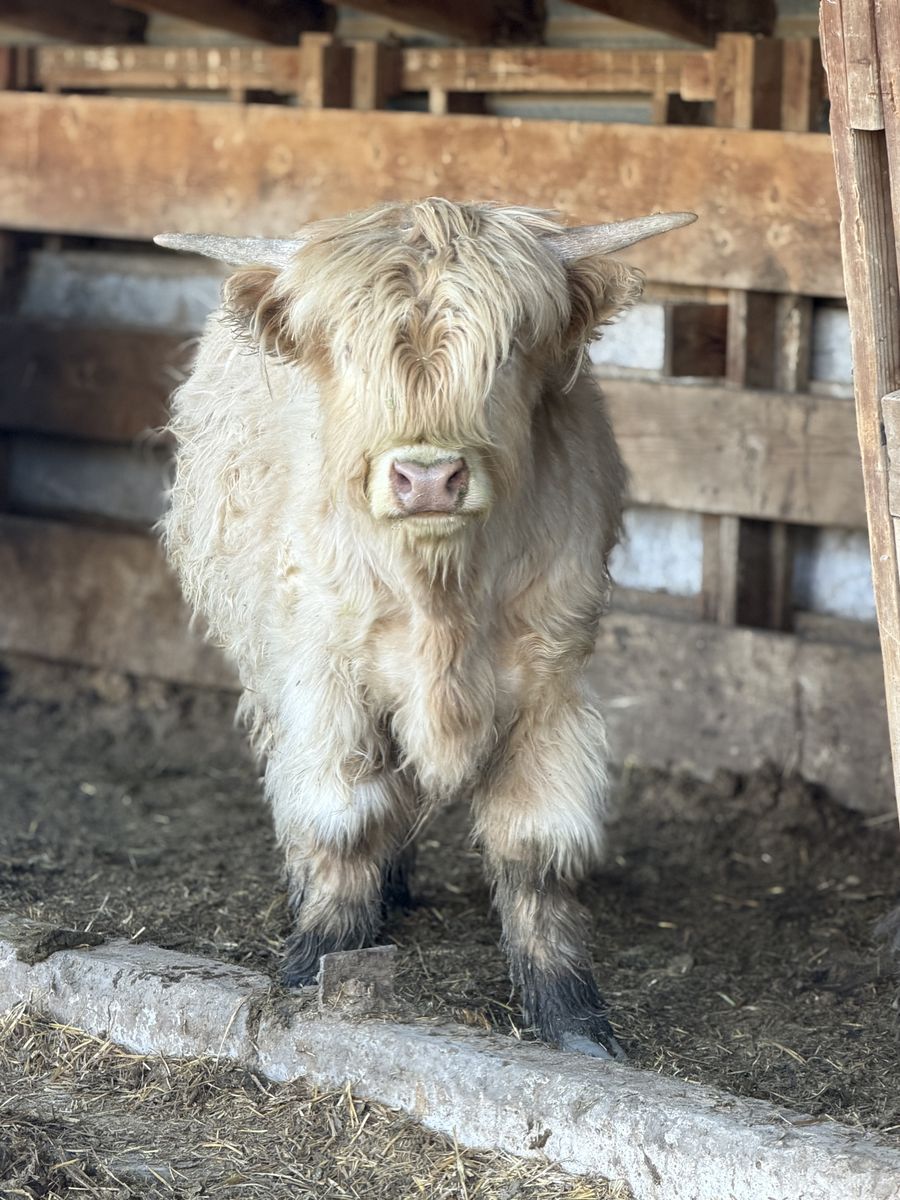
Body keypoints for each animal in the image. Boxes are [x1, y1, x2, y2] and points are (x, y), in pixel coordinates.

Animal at [156, 199, 695, 1058]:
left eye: (505, 353)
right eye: (347, 350)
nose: (429, 478)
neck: (441, 596)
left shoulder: (551, 680)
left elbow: (534, 847)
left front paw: (571, 1015)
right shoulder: (327, 675)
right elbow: (343, 817)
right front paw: (317, 957)